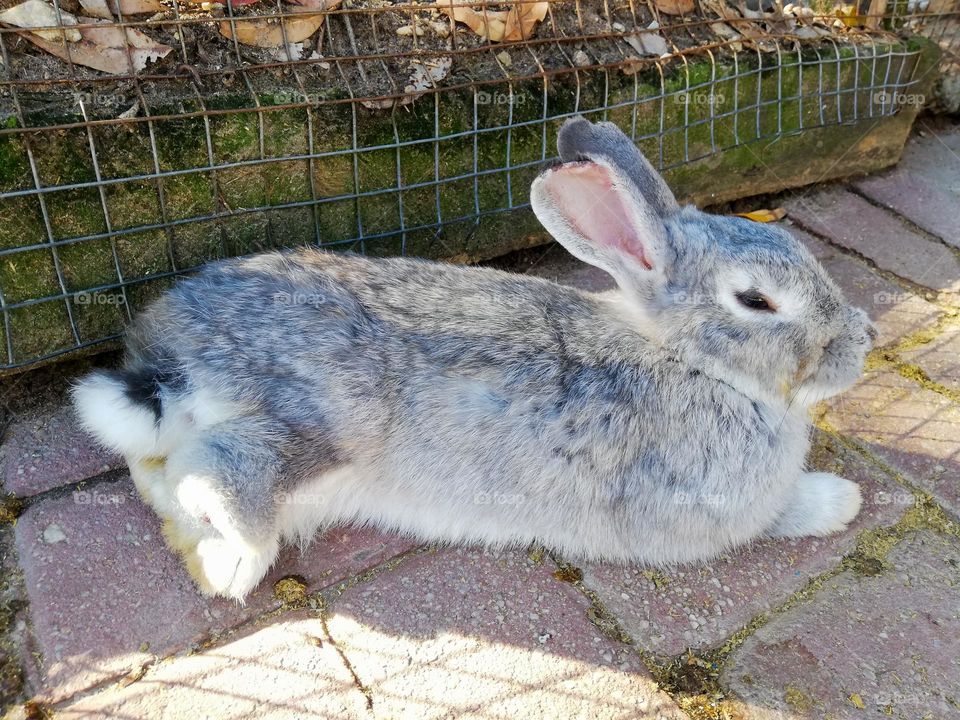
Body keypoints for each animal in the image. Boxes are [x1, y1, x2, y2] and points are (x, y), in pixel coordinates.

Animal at [72, 116, 876, 601]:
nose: (861, 339)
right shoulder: (699, 513)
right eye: (756, 301)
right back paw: (233, 553)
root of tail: (167, 364)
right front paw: (842, 501)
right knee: (220, 472)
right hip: (317, 424)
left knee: (163, 479)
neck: (692, 362)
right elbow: (775, 516)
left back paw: (212, 558)